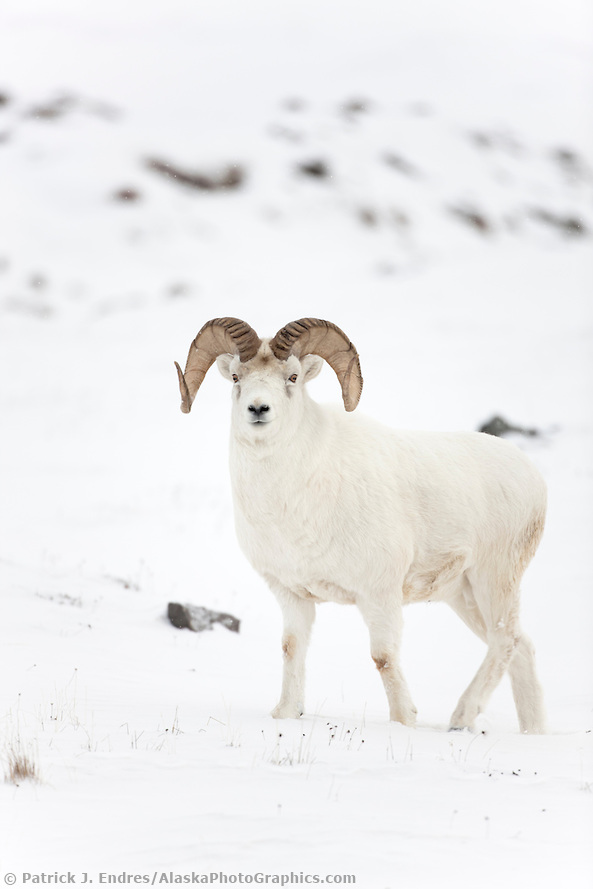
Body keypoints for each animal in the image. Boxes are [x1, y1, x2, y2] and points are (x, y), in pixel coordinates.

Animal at [175, 316, 544, 732]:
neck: (296, 499)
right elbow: (291, 648)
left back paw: (461, 717)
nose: (258, 408)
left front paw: (403, 722)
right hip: (462, 595)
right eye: (237, 376)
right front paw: (285, 714)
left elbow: (383, 658)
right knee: (522, 648)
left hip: (494, 579)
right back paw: (531, 732)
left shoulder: (378, 595)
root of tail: (532, 476)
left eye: (292, 377)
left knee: (505, 640)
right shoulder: (292, 595)